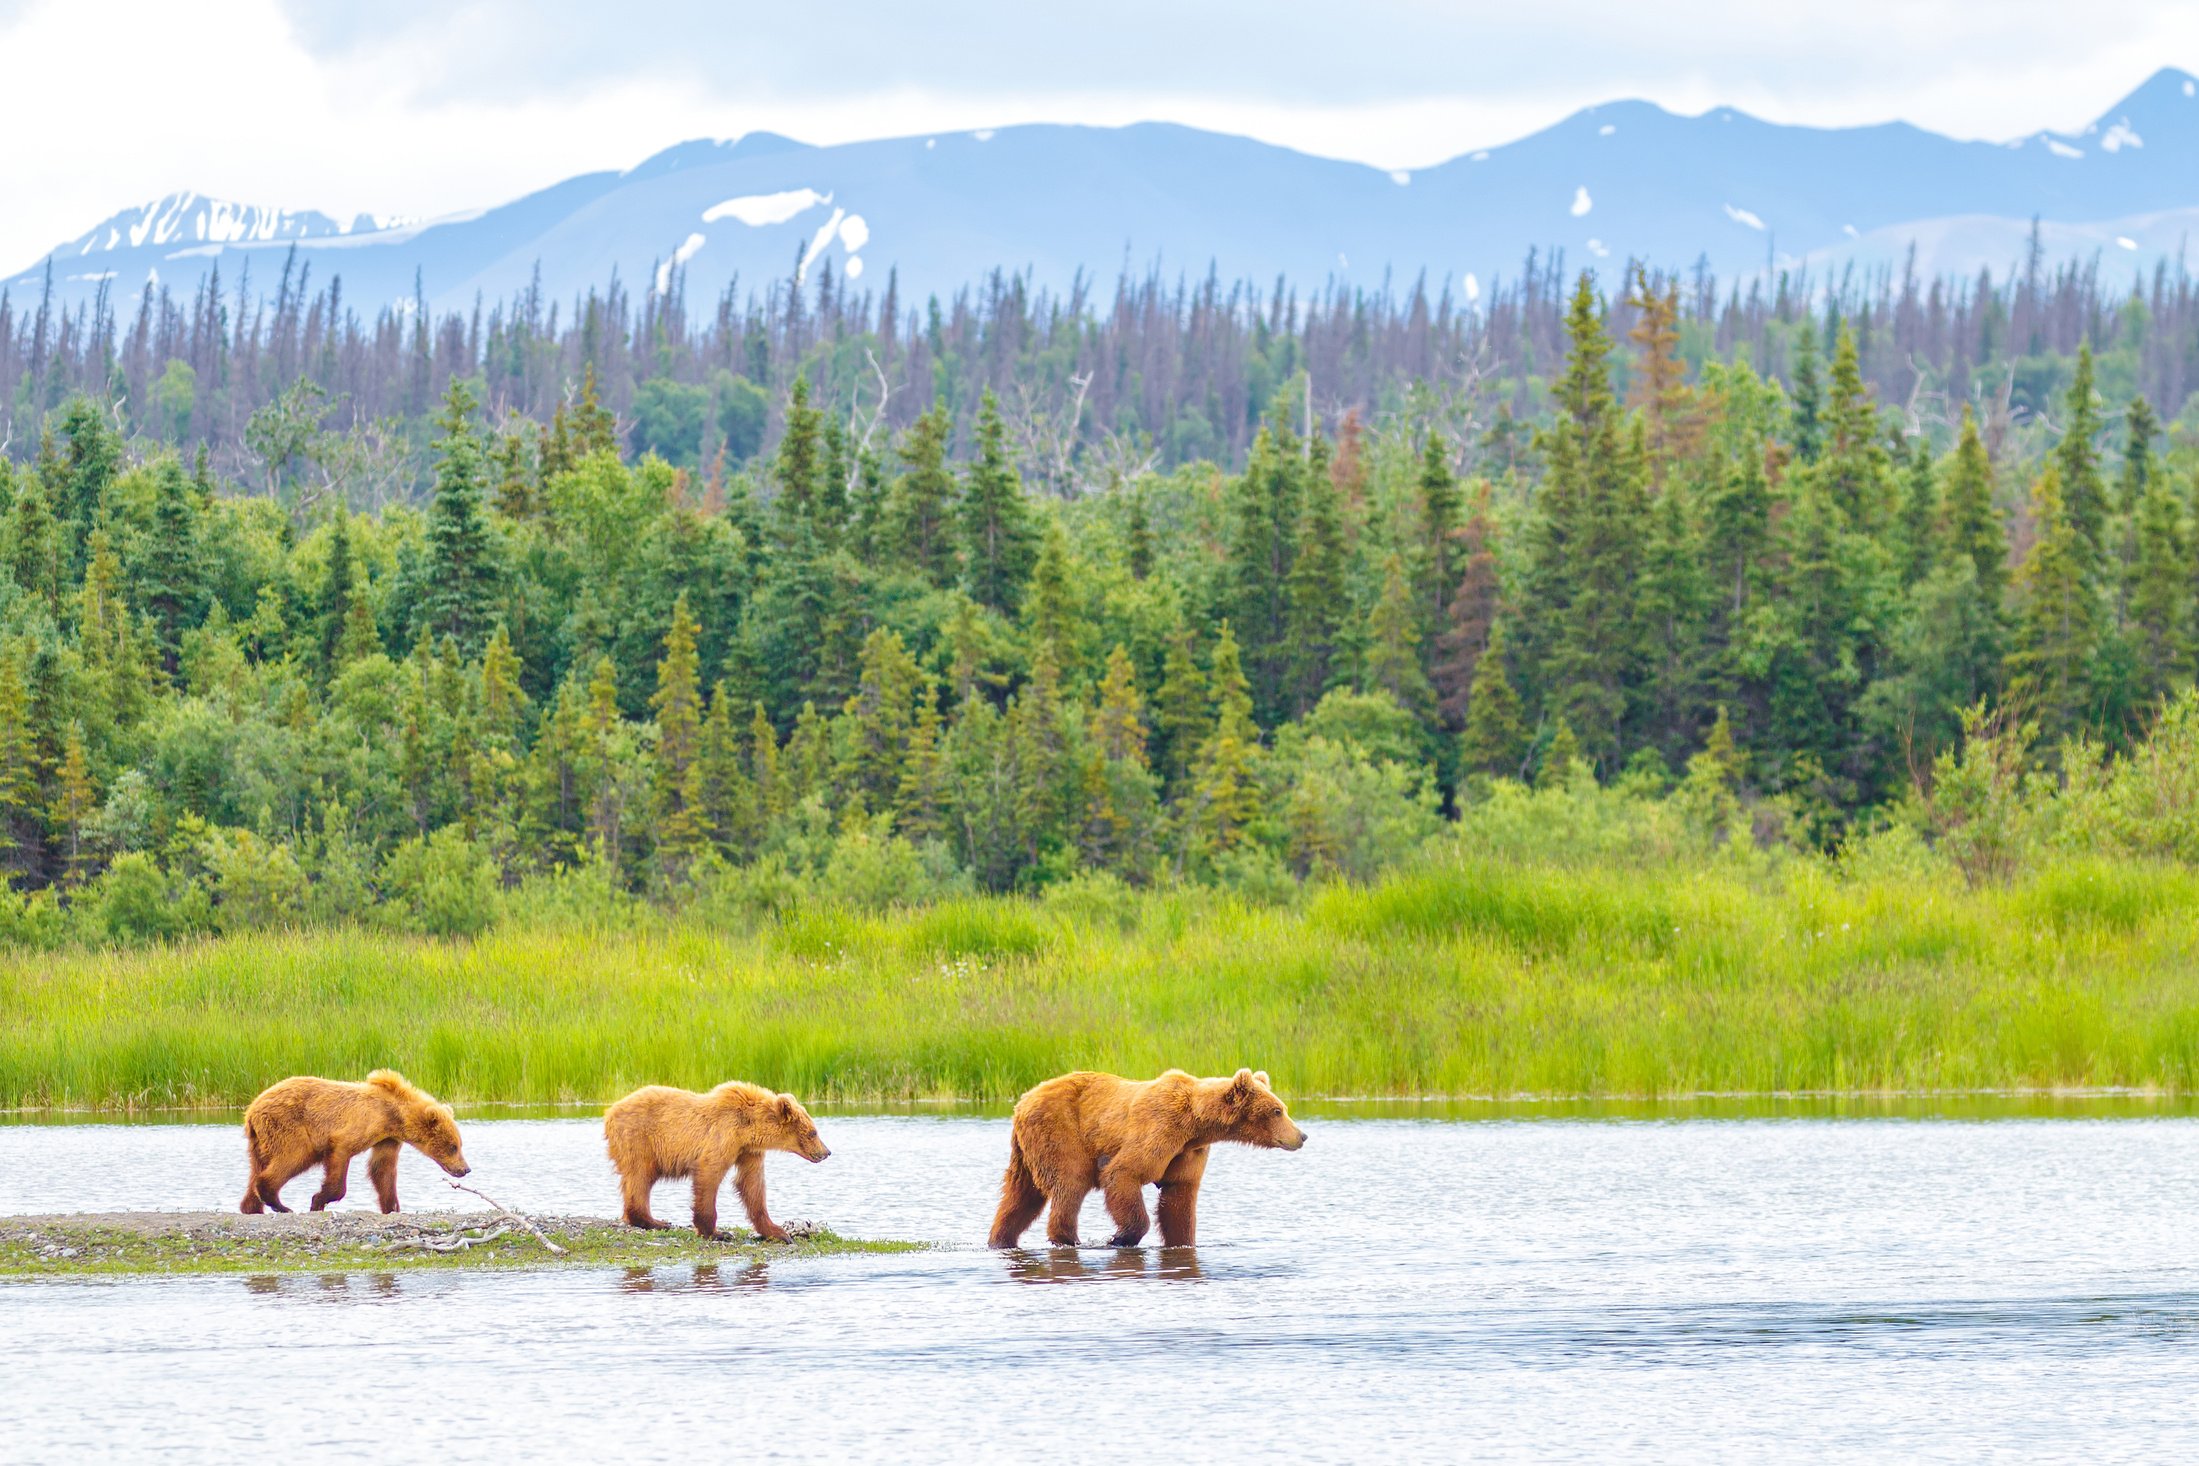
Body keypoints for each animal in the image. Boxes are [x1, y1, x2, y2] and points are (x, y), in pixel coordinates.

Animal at [236, 1068, 468, 1213]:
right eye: (453, 1146)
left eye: (458, 1144)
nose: (465, 1169)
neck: (393, 1115)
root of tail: (252, 1109)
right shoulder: (358, 1127)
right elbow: (341, 1155)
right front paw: (318, 1201)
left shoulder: (387, 1138)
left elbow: (382, 1169)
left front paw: (392, 1207)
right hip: (289, 1126)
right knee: (293, 1157)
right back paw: (279, 1203)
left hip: (260, 1139)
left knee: (257, 1166)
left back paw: (252, 1207)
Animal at [602, 1085, 831, 1248]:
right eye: (813, 1132)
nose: (827, 1152)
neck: (748, 1127)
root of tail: (610, 1111)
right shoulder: (723, 1135)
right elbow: (709, 1173)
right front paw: (716, 1232)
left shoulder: (748, 1151)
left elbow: (752, 1185)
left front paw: (779, 1233)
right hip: (640, 1139)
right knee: (640, 1177)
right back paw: (655, 1221)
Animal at [985, 1068, 1301, 1248]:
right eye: (1277, 1111)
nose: (1301, 1136)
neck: (1195, 1125)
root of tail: (1022, 1101)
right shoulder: (1159, 1129)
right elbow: (1123, 1173)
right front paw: (1120, 1237)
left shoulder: (1187, 1152)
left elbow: (1179, 1198)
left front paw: (1182, 1241)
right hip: (1060, 1132)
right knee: (1070, 1183)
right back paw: (1067, 1238)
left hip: (1026, 1150)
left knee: (1020, 1195)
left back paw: (1001, 1239)